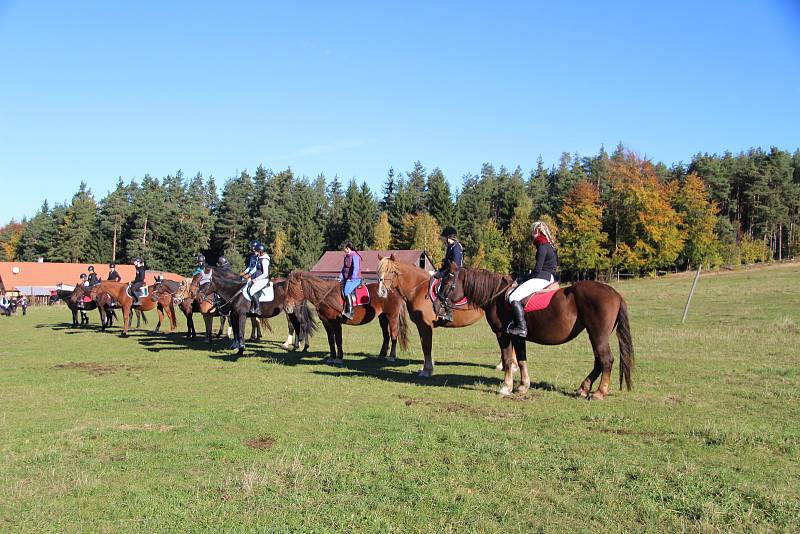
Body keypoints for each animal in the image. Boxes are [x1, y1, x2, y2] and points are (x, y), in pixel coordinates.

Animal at [282, 270, 410, 366]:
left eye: (292, 288)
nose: (287, 307)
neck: (326, 295)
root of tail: (394, 290)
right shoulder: (326, 322)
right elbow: (331, 339)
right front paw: (332, 357)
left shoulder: (336, 322)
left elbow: (338, 339)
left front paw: (339, 358)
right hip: (382, 318)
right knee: (386, 336)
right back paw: (381, 355)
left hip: (392, 317)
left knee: (393, 335)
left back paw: (392, 356)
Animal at [434, 264, 636, 402]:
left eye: (447, 282)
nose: (436, 305)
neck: (497, 296)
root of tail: (616, 294)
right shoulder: (518, 336)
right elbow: (521, 359)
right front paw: (523, 386)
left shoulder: (503, 335)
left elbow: (507, 360)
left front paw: (506, 387)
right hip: (594, 335)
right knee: (598, 361)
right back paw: (583, 388)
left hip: (598, 335)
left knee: (606, 360)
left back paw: (599, 393)